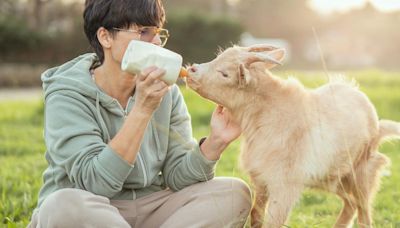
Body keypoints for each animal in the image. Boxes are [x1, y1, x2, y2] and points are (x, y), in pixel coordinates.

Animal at [186, 44, 398, 228]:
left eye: (225, 74)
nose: (191, 70)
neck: (267, 114)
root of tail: (376, 123)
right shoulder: (261, 180)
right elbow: (256, 215)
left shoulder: (284, 187)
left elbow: (272, 223)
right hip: (333, 177)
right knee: (351, 203)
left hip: (362, 171)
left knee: (363, 210)